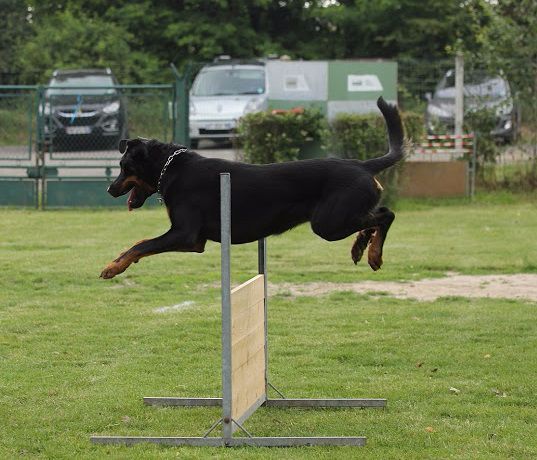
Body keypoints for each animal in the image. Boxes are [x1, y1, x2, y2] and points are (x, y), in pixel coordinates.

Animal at [99, 95, 402, 278]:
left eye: (124, 166)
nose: (110, 190)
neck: (171, 168)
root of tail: (364, 165)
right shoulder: (195, 241)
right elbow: (141, 243)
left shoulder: (184, 234)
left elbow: (142, 244)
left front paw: (113, 266)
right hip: (336, 219)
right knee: (374, 218)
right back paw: (360, 248)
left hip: (328, 222)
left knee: (386, 215)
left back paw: (373, 253)